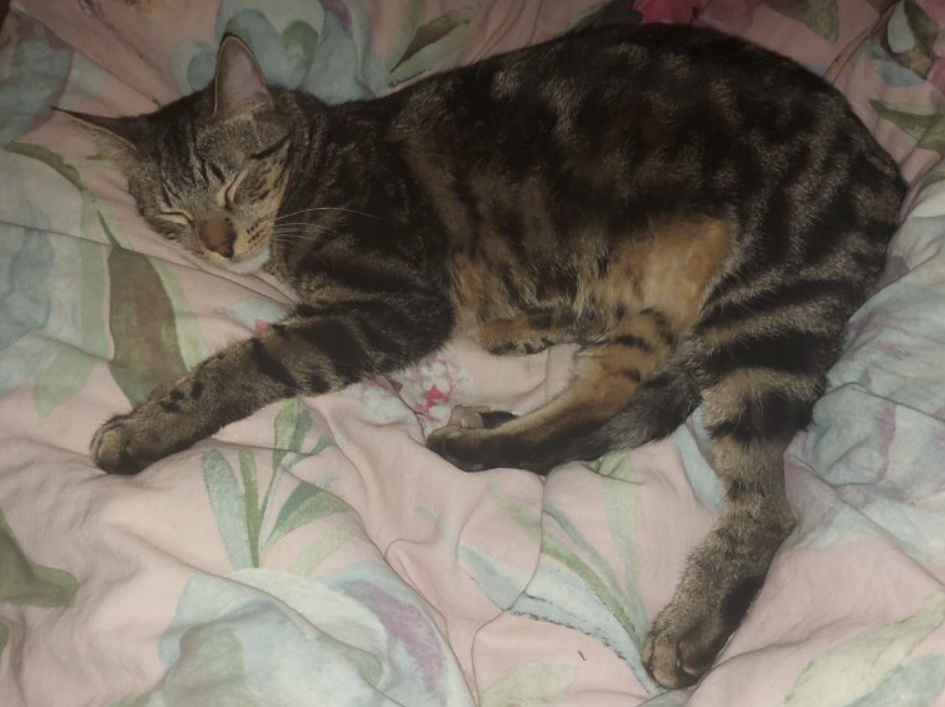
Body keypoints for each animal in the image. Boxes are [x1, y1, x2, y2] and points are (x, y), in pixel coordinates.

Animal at [61, 24, 905, 688]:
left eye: (234, 180)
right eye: (172, 213)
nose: (219, 244)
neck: (314, 162)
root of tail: (882, 165)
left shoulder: (392, 305)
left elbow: (247, 365)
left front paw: (143, 431)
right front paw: (521, 328)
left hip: (764, 311)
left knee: (762, 504)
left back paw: (688, 619)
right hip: (672, 306)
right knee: (610, 401)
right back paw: (487, 422)